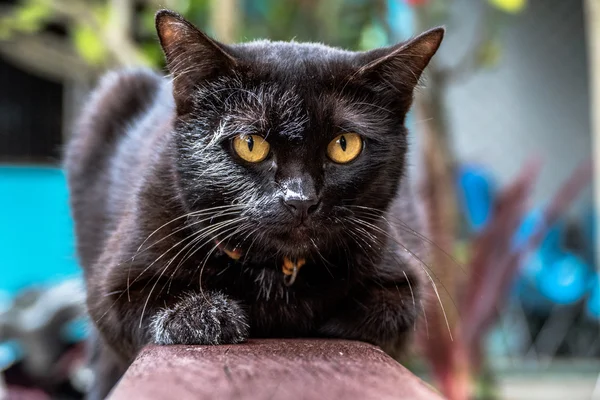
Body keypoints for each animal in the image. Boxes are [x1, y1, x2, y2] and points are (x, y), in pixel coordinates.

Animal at [65, 10, 442, 400]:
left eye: (344, 145)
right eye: (250, 143)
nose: (300, 199)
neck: (275, 274)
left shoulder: (404, 283)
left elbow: (385, 314)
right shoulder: (111, 289)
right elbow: (146, 307)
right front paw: (203, 315)